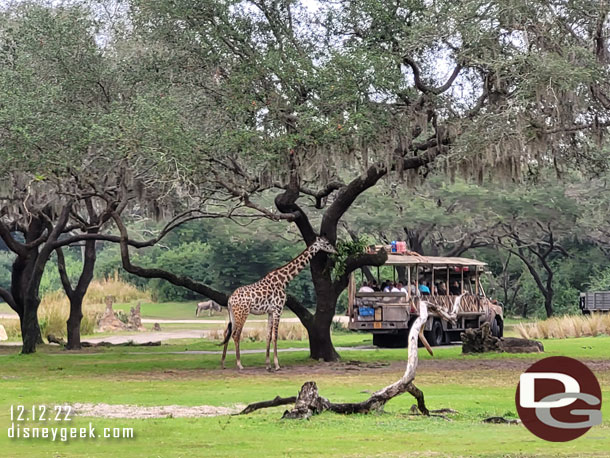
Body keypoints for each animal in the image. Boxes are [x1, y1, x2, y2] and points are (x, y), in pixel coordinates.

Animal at [220, 238, 334, 370]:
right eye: (327, 243)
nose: (335, 250)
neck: (284, 280)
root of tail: (230, 299)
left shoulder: (270, 311)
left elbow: (268, 336)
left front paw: (268, 365)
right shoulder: (278, 309)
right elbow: (275, 336)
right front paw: (277, 364)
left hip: (233, 314)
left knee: (227, 333)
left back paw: (223, 363)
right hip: (242, 313)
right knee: (236, 334)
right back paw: (239, 364)